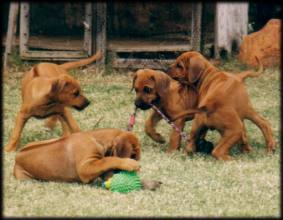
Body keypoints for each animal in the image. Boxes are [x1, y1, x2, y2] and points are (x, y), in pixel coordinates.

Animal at [13, 128, 142, 183]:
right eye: (133, 155)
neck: (97, 139)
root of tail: (16, 158)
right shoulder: (85, 167)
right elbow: (108, 159)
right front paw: (128, 163)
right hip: (25, 178)